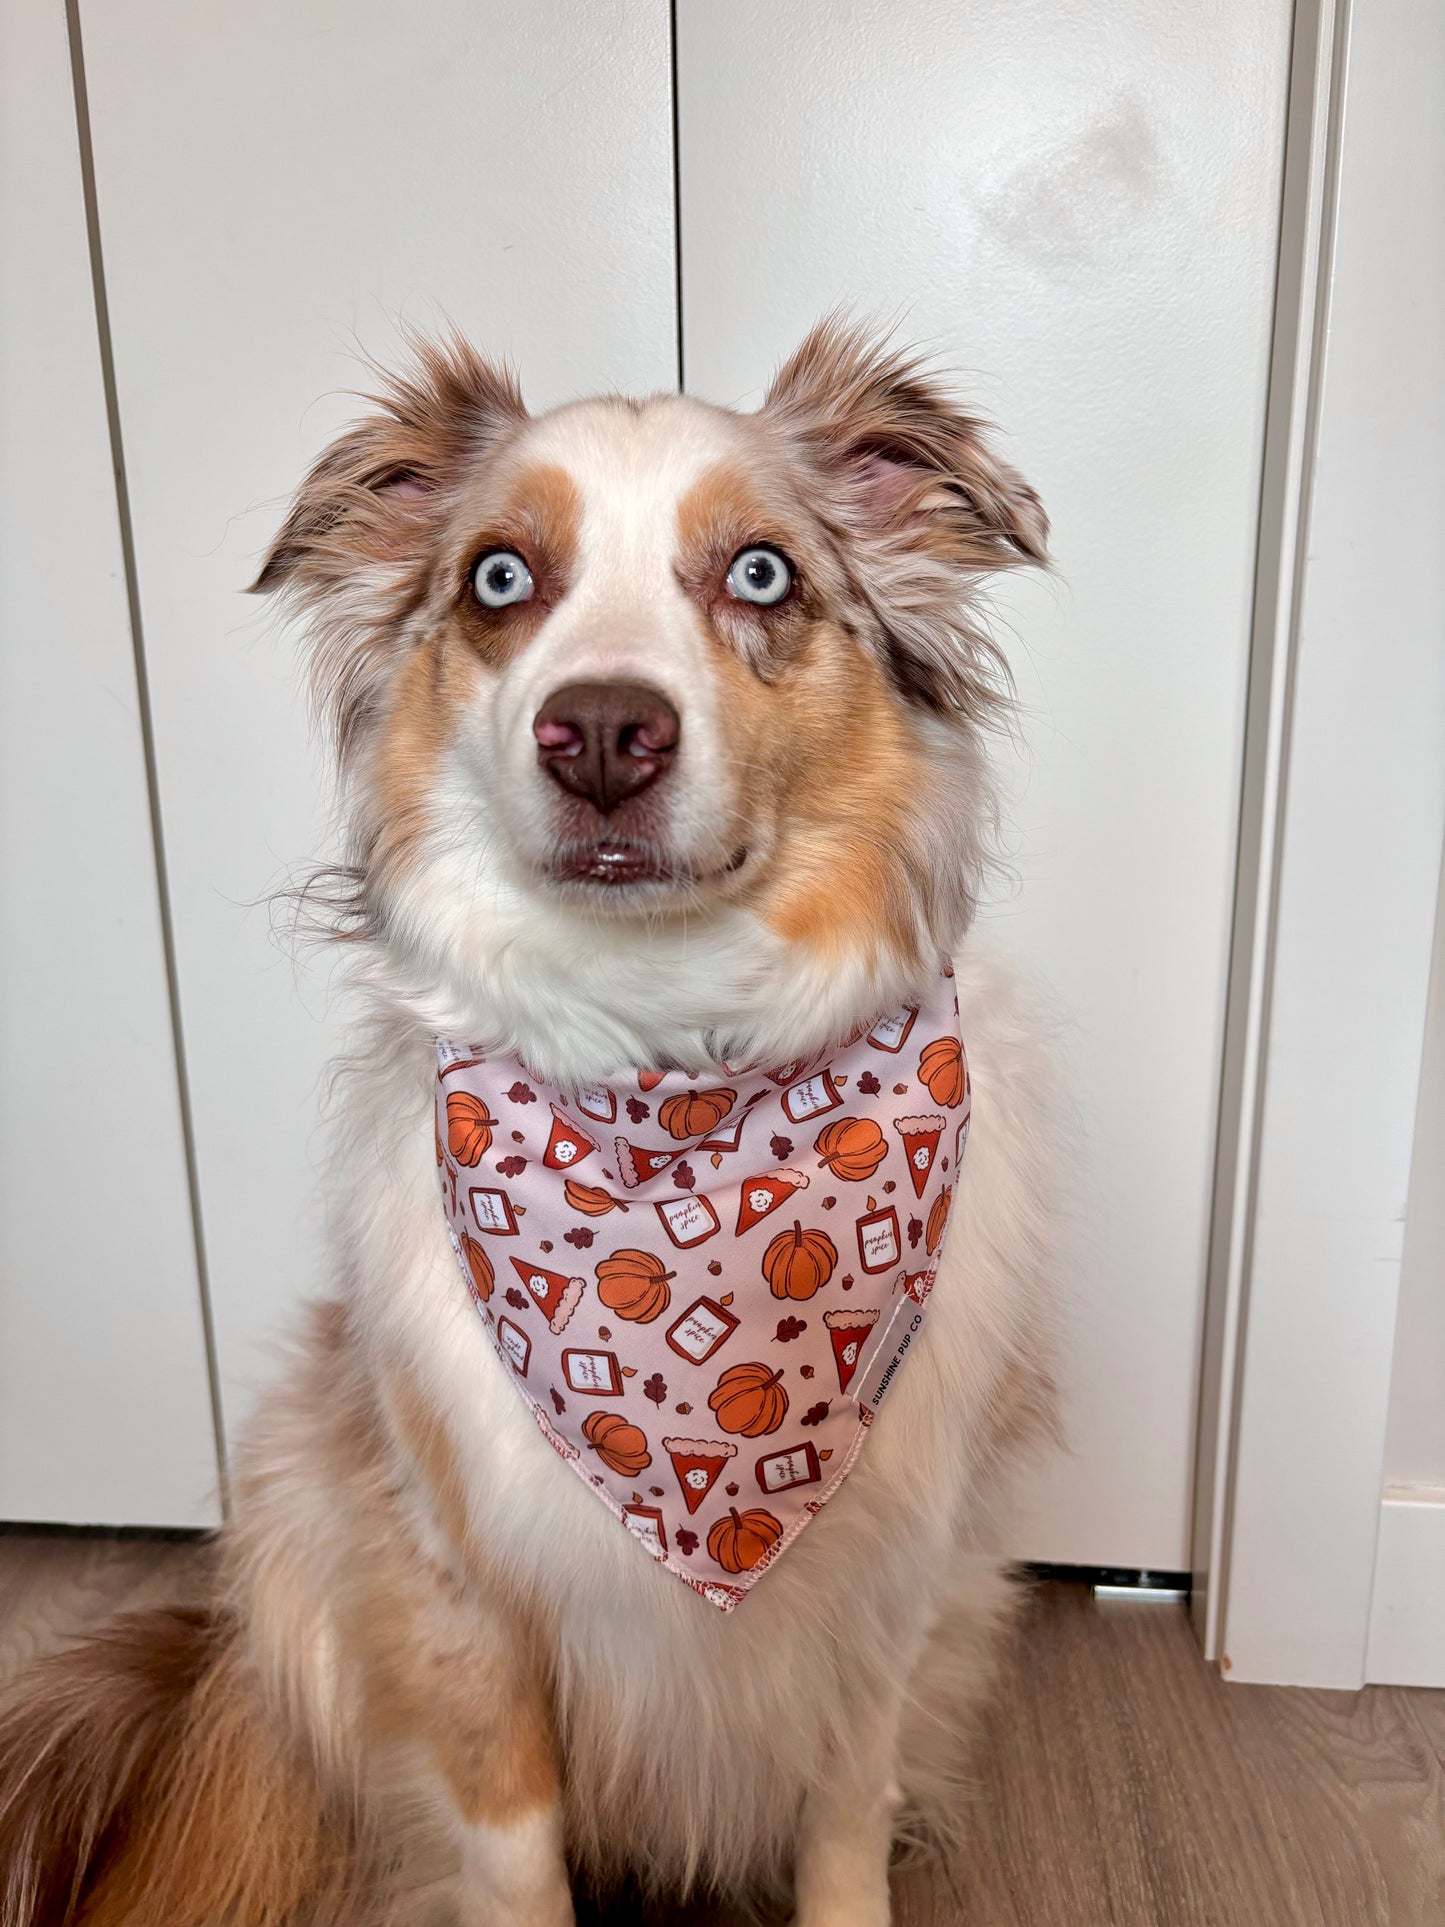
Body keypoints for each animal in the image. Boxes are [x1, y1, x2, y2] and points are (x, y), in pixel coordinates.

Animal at [0, 323, 1063, 1919]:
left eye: (761, 573)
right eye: (500, 578)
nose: (605, 733)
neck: (669, 1079)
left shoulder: (886, 1588)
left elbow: (842, 1815)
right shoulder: (453, 1583)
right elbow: (510, 1852)